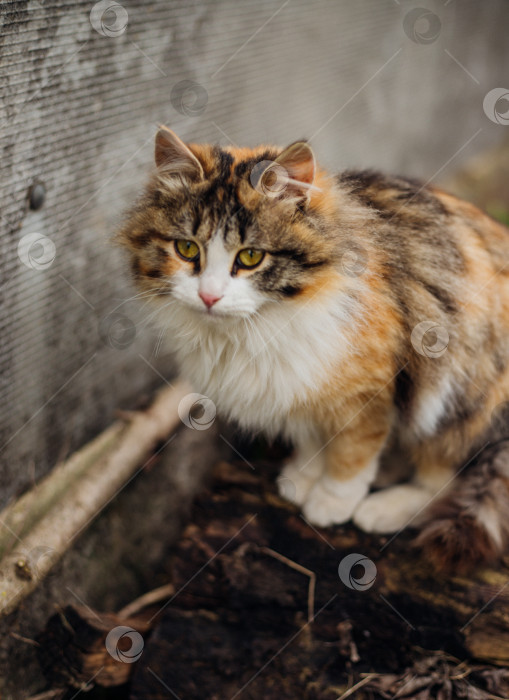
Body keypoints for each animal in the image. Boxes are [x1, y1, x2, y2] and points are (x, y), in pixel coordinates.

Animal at [117, 126, 508, 572]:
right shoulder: (299, 383)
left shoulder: (368, 392)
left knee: (443, 482)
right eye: (186, 249)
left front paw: (331, 501)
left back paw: (383, 506)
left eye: (251, 257)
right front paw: (303, 477)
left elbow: (352, 454)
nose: (209, 297)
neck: (253, 329)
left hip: (457, 397)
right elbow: (312, 439)